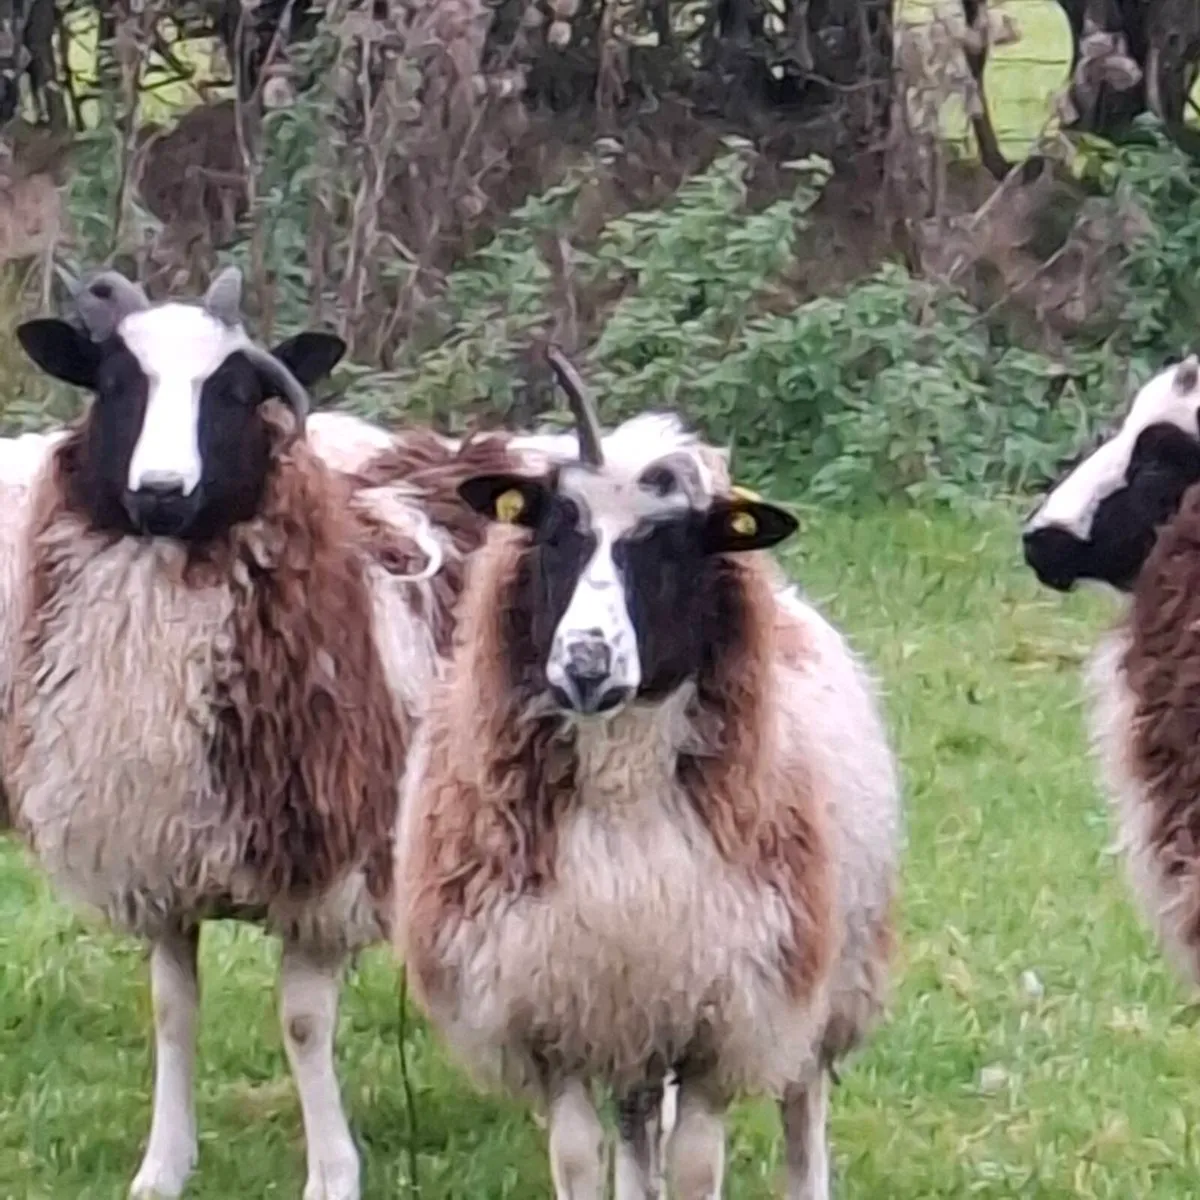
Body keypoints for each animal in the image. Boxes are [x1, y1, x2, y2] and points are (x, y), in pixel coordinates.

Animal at [1, 264, 526, 1200]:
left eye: (237, 391)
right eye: (114, 384)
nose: (160, 494)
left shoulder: (322, 873)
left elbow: (304, 1025)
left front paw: (333, 1174)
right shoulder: (164, 860)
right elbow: (172, 1013)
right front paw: (162, 1167)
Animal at [394, 355, 901, 1200]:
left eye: (672, 547)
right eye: (557, 533)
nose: (585, 666)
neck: (621, 789)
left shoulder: (726, 1022)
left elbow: (697, 1167)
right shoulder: (554, 1017)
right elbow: (579, 1157)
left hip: (825, 980)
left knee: (803, 1111)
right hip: (635, 1018)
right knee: (636, 1127)